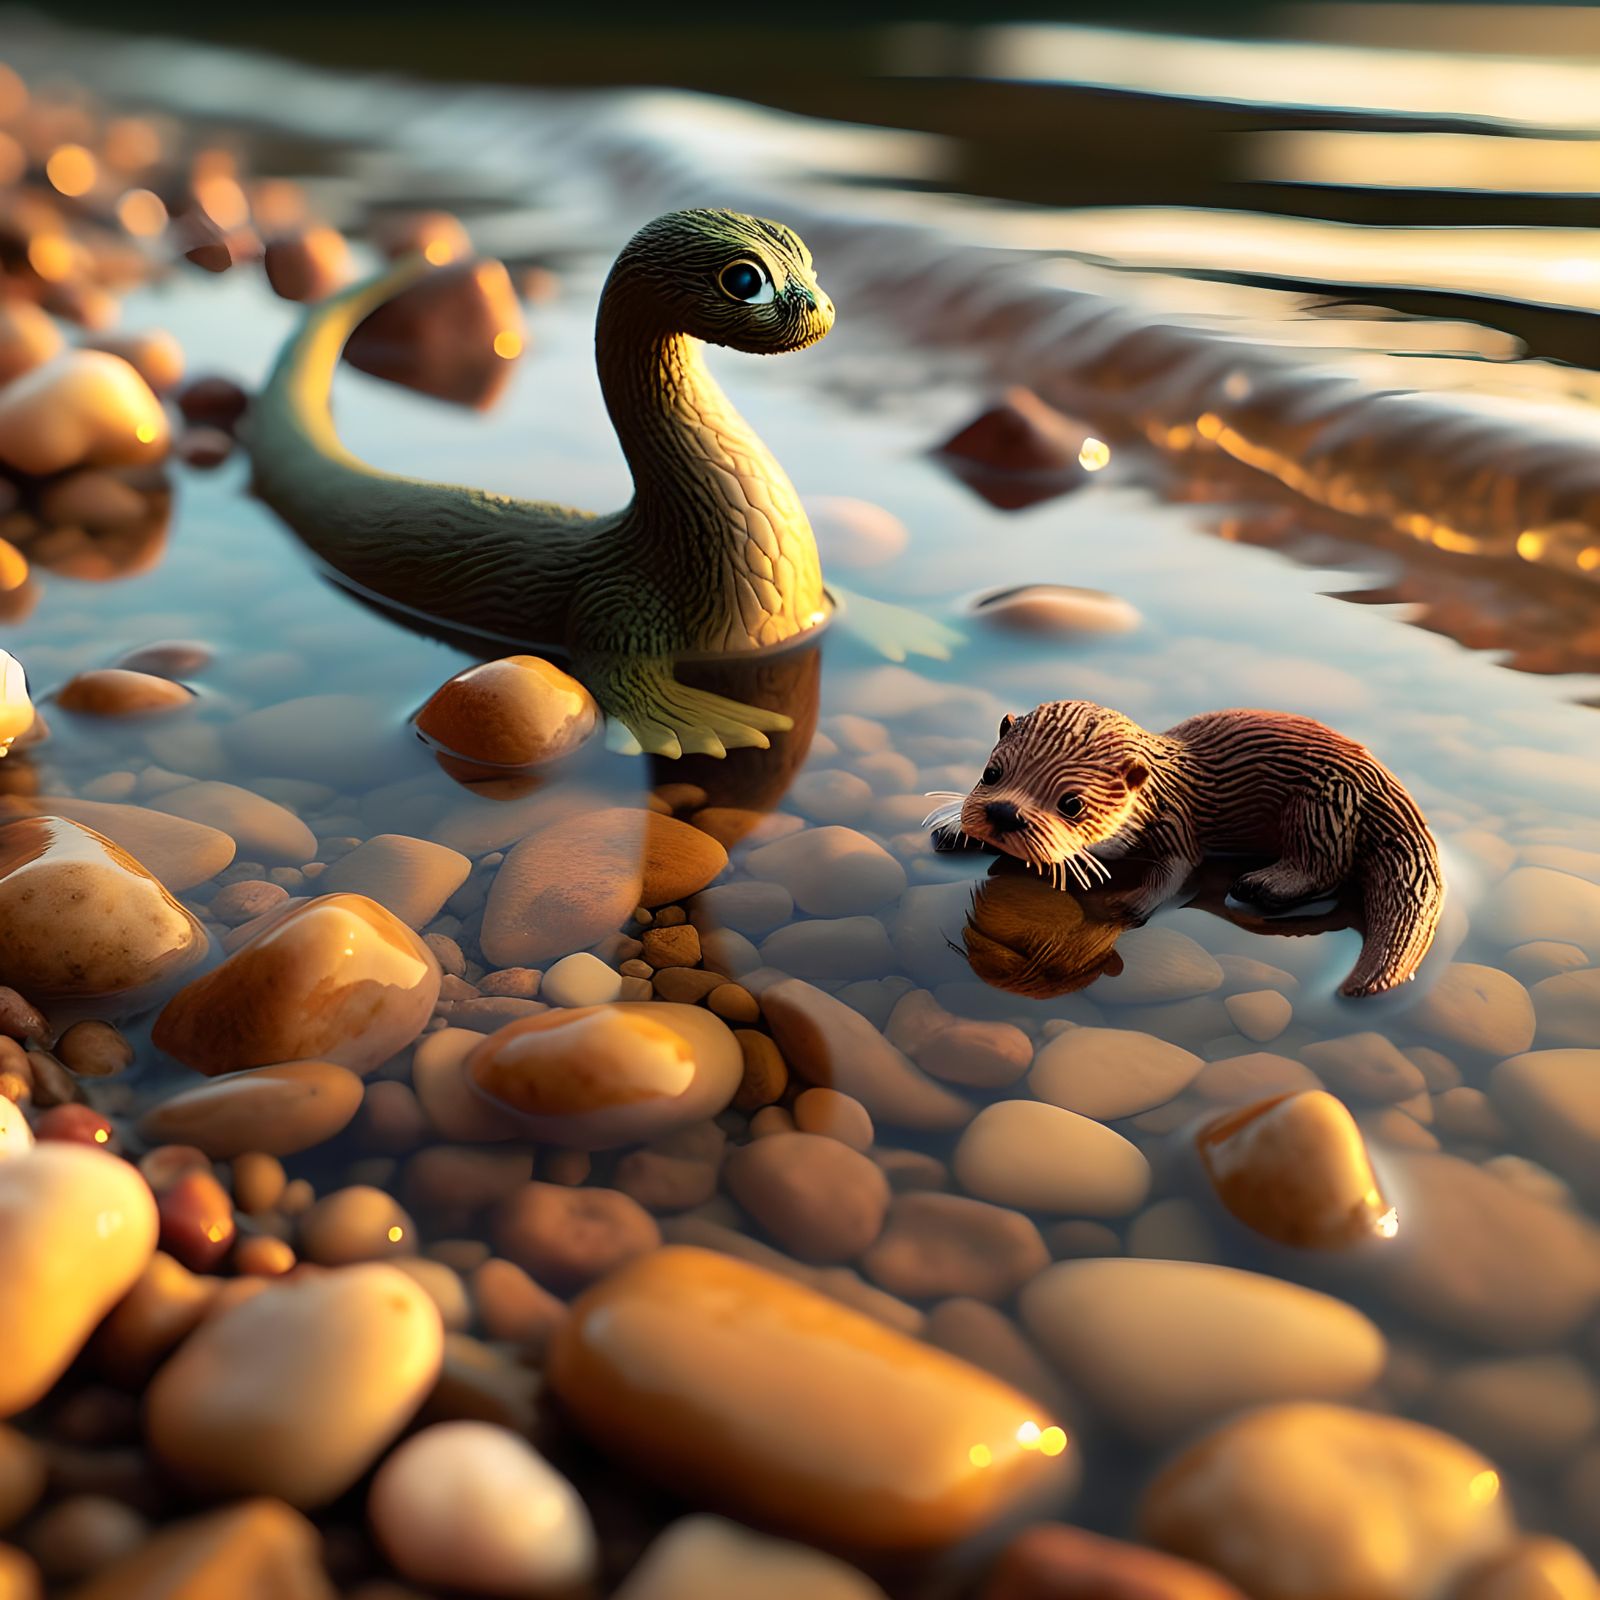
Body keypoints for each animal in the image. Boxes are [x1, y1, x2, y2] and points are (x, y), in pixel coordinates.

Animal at [928, 701, 1444, 998]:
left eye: (1071, 804)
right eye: (991, 773)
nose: (1004, 814)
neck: (1157, 791)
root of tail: (1386, 785)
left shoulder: (1177, 824)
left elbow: (1176, 877)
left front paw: (1124, 905)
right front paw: (954, 831)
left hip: (1321, 805)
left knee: (1324, 865)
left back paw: (1261, 886)